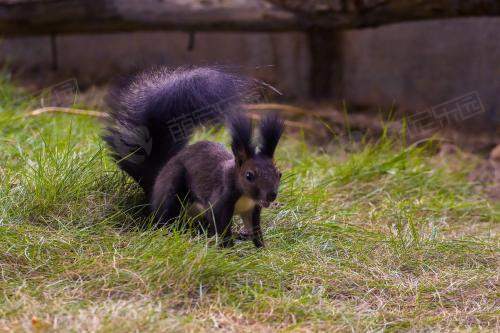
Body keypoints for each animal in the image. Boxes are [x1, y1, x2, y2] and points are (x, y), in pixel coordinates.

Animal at [104, 66, 286, 246]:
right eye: (249, 175)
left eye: (279, 174)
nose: (271, 195)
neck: (244, 196)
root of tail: (155, 184)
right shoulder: (220, 203)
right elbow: (221, 226)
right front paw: (228, 247)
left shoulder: (252, 209)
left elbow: (255, 229)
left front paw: (261, 247)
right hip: (173, 188)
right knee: (164, 217)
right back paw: (169, 229)